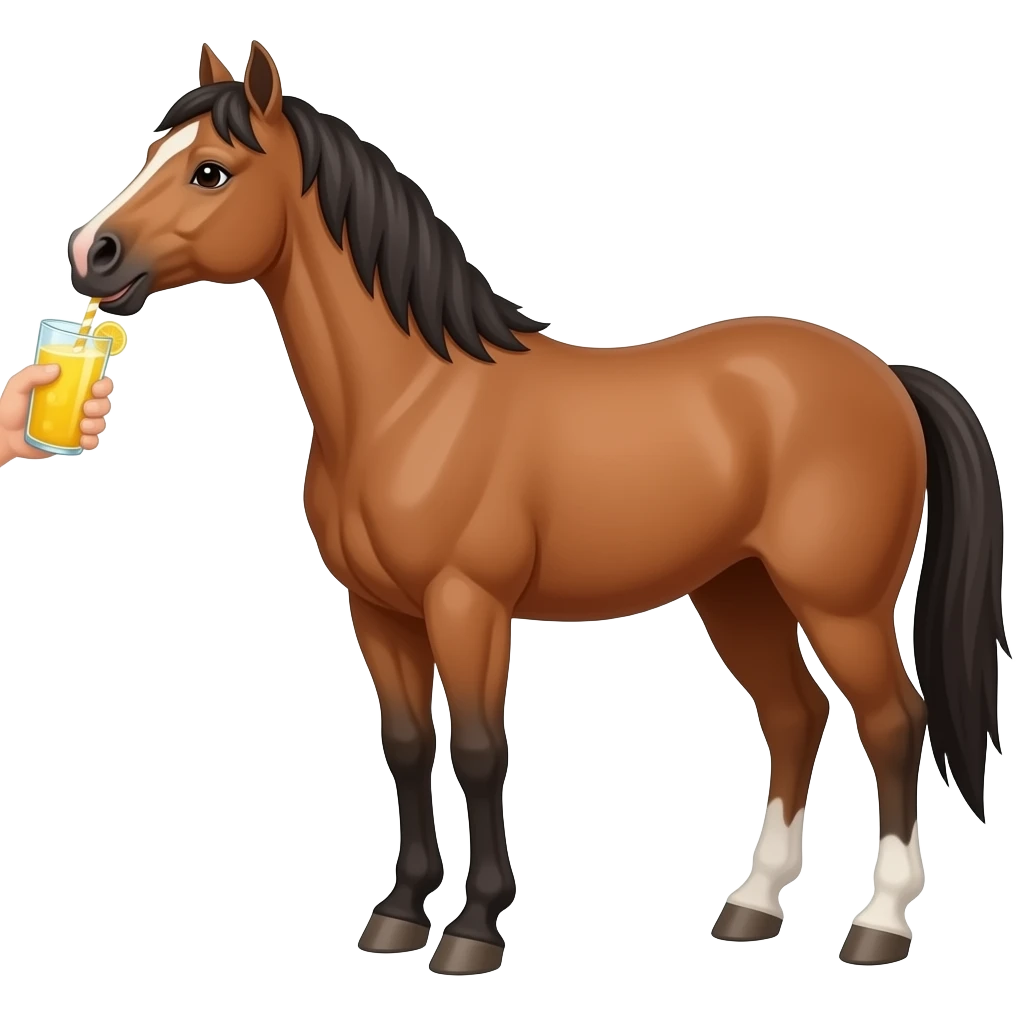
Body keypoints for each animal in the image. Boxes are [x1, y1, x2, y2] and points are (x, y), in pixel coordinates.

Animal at [68, 40, 1009, 973]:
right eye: (154, 153)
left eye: (210, 172)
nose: (92, 254)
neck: (412, 401)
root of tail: (887, 376)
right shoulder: (378, 612)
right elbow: (407, 748)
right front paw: (400, 915)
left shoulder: (467, 604)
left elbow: (481, 752)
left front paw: (474, 929)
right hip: (740, 591)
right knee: (794, 717)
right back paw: (751, 905)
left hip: (839, 602)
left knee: (895, 724)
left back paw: (880, 923)